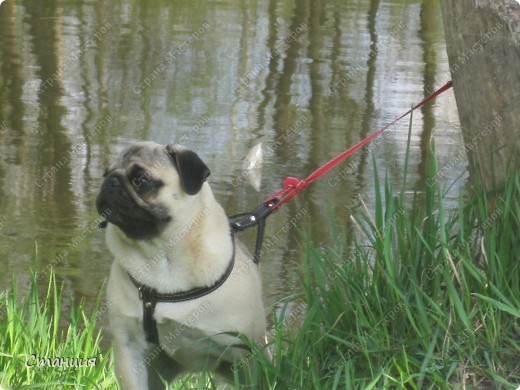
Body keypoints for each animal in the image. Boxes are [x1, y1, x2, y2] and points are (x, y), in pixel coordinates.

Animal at [95, 141, 266, 390]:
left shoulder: (246, 353)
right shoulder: (130, 350)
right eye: (105, 174)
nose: (110, 182)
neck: (161, 256)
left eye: (140, 180)